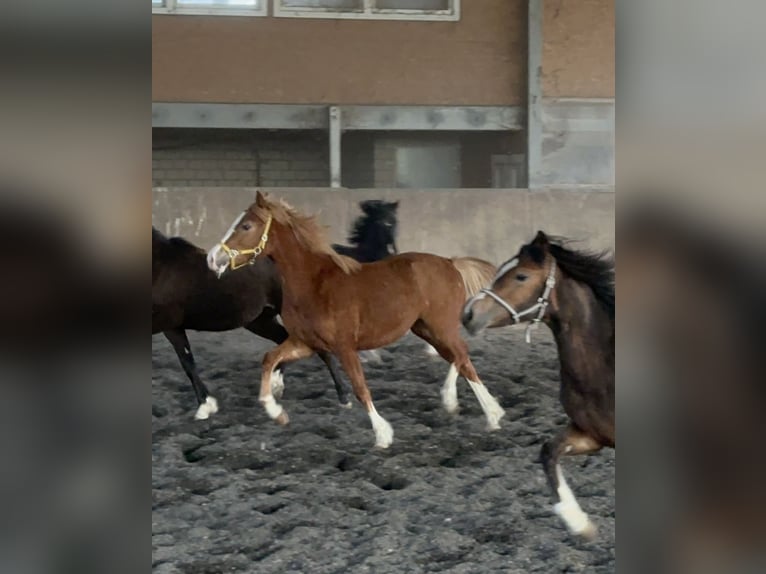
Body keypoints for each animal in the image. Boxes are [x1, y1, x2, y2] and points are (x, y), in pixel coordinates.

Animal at [151, 227, 354, 420]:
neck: (160, 266)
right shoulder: (172, 328)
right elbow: (187, 363)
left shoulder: (169, 326)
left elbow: (187, 364)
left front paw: (205, 407)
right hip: (259, 321)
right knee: (282, 339)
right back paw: (275, 386)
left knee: (318, 348)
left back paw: (344, 398)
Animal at [207, 192, 508, 450]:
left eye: (246, 225)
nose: (213, 257)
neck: (313, 284)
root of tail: (450, 263)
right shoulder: (306, 343)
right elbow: (270, 358)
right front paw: (275, 410)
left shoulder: (345, 346)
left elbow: (360, 388)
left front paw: (383, 434)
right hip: (424, 328)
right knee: (460, 360)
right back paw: (480, 411)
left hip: (440, 326)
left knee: (462, 355)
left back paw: (469, 406)